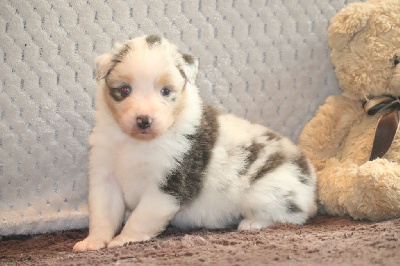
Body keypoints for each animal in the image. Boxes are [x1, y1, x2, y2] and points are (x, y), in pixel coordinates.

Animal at [73, 34, 318, 251]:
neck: (137, 143)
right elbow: (103, 214)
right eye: (125, 90)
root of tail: (309, 172)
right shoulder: (105, 176)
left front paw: (123, 240)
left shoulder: (168, 185)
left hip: (266, 192)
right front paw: (93, 242)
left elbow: (140, 218)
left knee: (290, 216)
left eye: (166, 91)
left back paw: (252, 223)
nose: (144, 120)